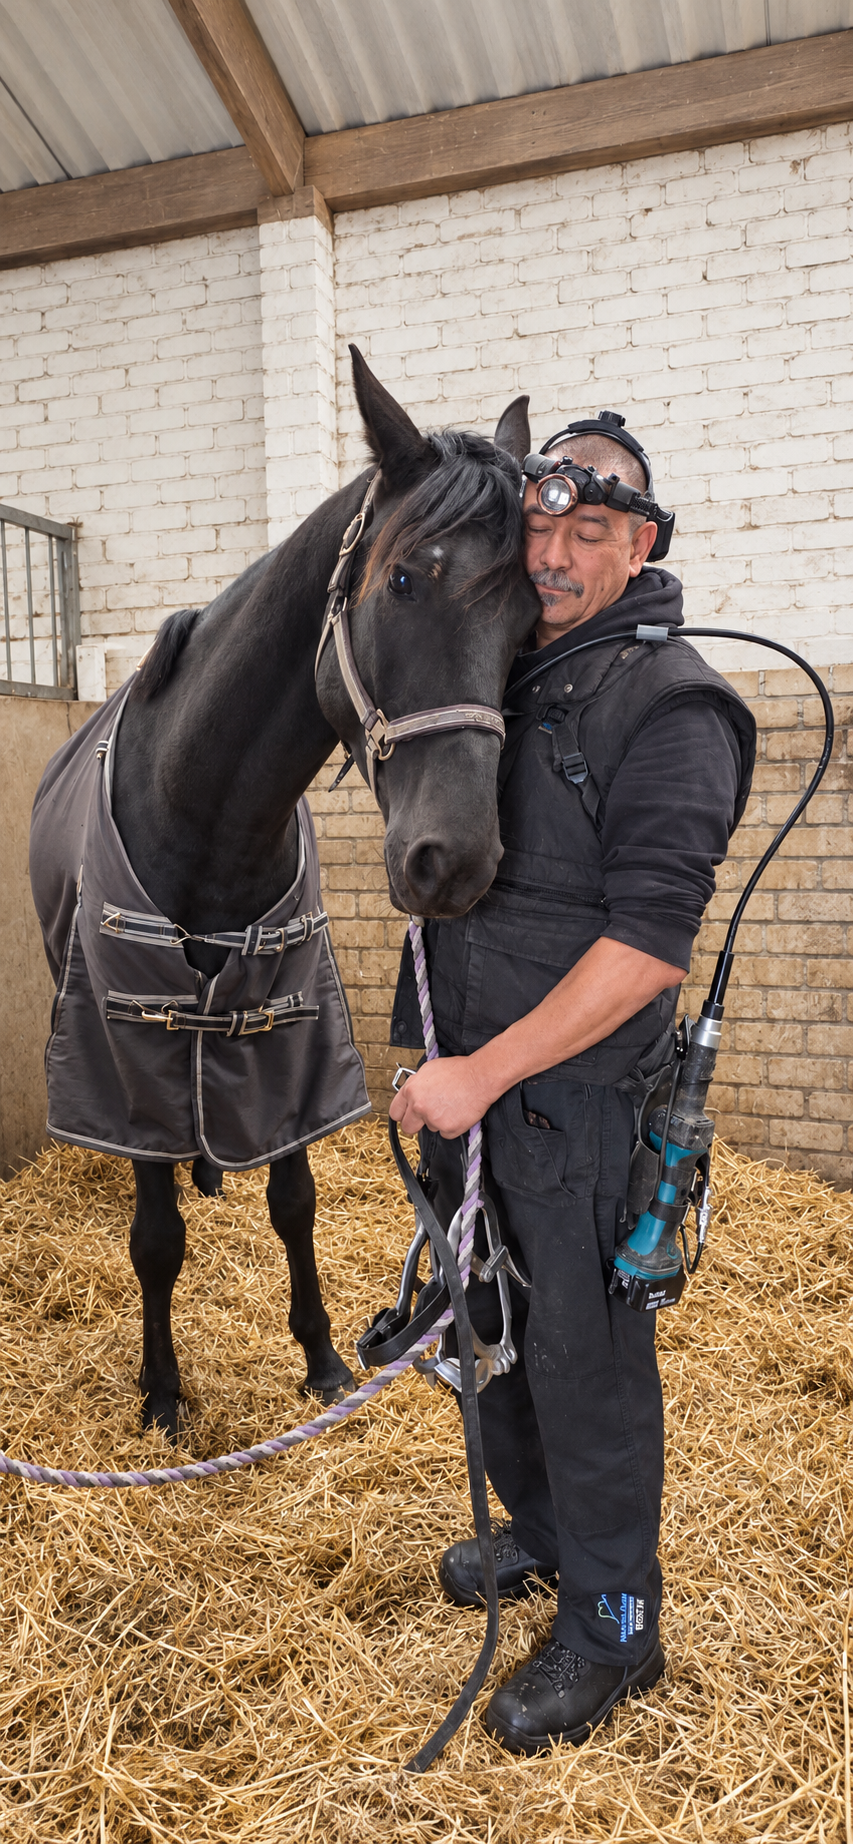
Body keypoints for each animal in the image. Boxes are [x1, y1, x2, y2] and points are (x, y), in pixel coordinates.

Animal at [29, 348, 538, 1439]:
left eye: (532, 614)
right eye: (404, 578)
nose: (457, 860)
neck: (205, 816)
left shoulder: (287, 1031)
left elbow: (293, 1198)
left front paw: (320, 1359)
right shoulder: (129, 1047)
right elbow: (154, 1237)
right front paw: (163, 1392)